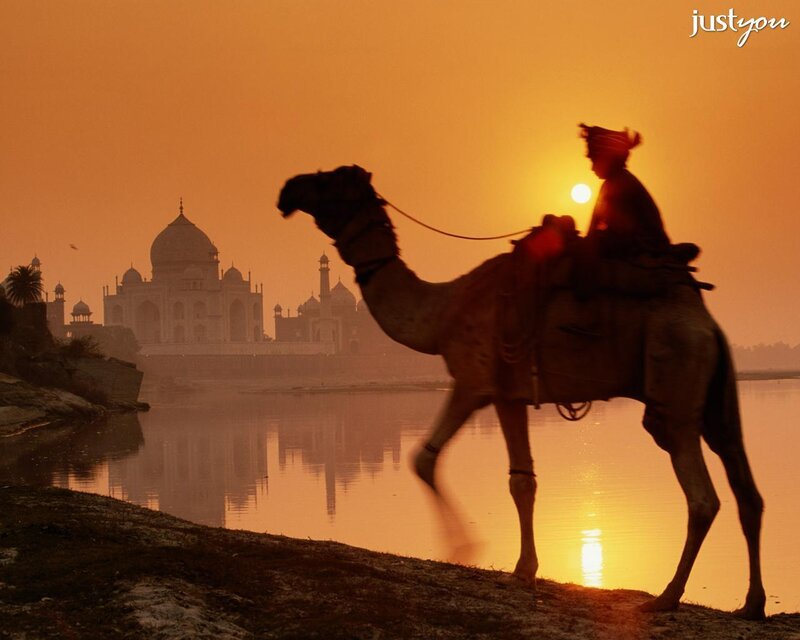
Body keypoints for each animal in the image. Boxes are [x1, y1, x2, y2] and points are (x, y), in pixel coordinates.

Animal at [277, 165, 766, 620]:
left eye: (326, 181)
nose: (287, 190)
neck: (443, 309)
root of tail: (706, 323)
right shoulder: (507, 394)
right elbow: (521, 480)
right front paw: (522, 570)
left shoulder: (473, 380)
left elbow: (425, 459)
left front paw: (465, 548)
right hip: (715, 398)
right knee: (746, 490)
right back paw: (751, 604)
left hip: (676, 387)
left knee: (702, 498)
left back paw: (667, 597)